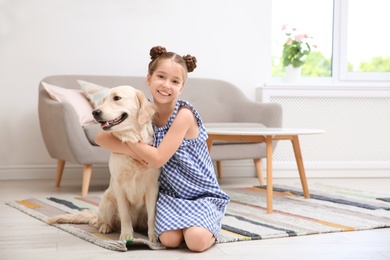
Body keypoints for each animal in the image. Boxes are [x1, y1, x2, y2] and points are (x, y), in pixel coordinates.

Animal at [46, 85, 159, 242]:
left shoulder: (152, 186)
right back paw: (105, 227)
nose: (95, 112)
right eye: (103, 100)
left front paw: (153, 237)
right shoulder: (119, 186)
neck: (132, 139)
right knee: (102, 221)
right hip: (107, 202)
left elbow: (152, 216)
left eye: (116, 98)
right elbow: (125, 215)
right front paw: (126, 235)